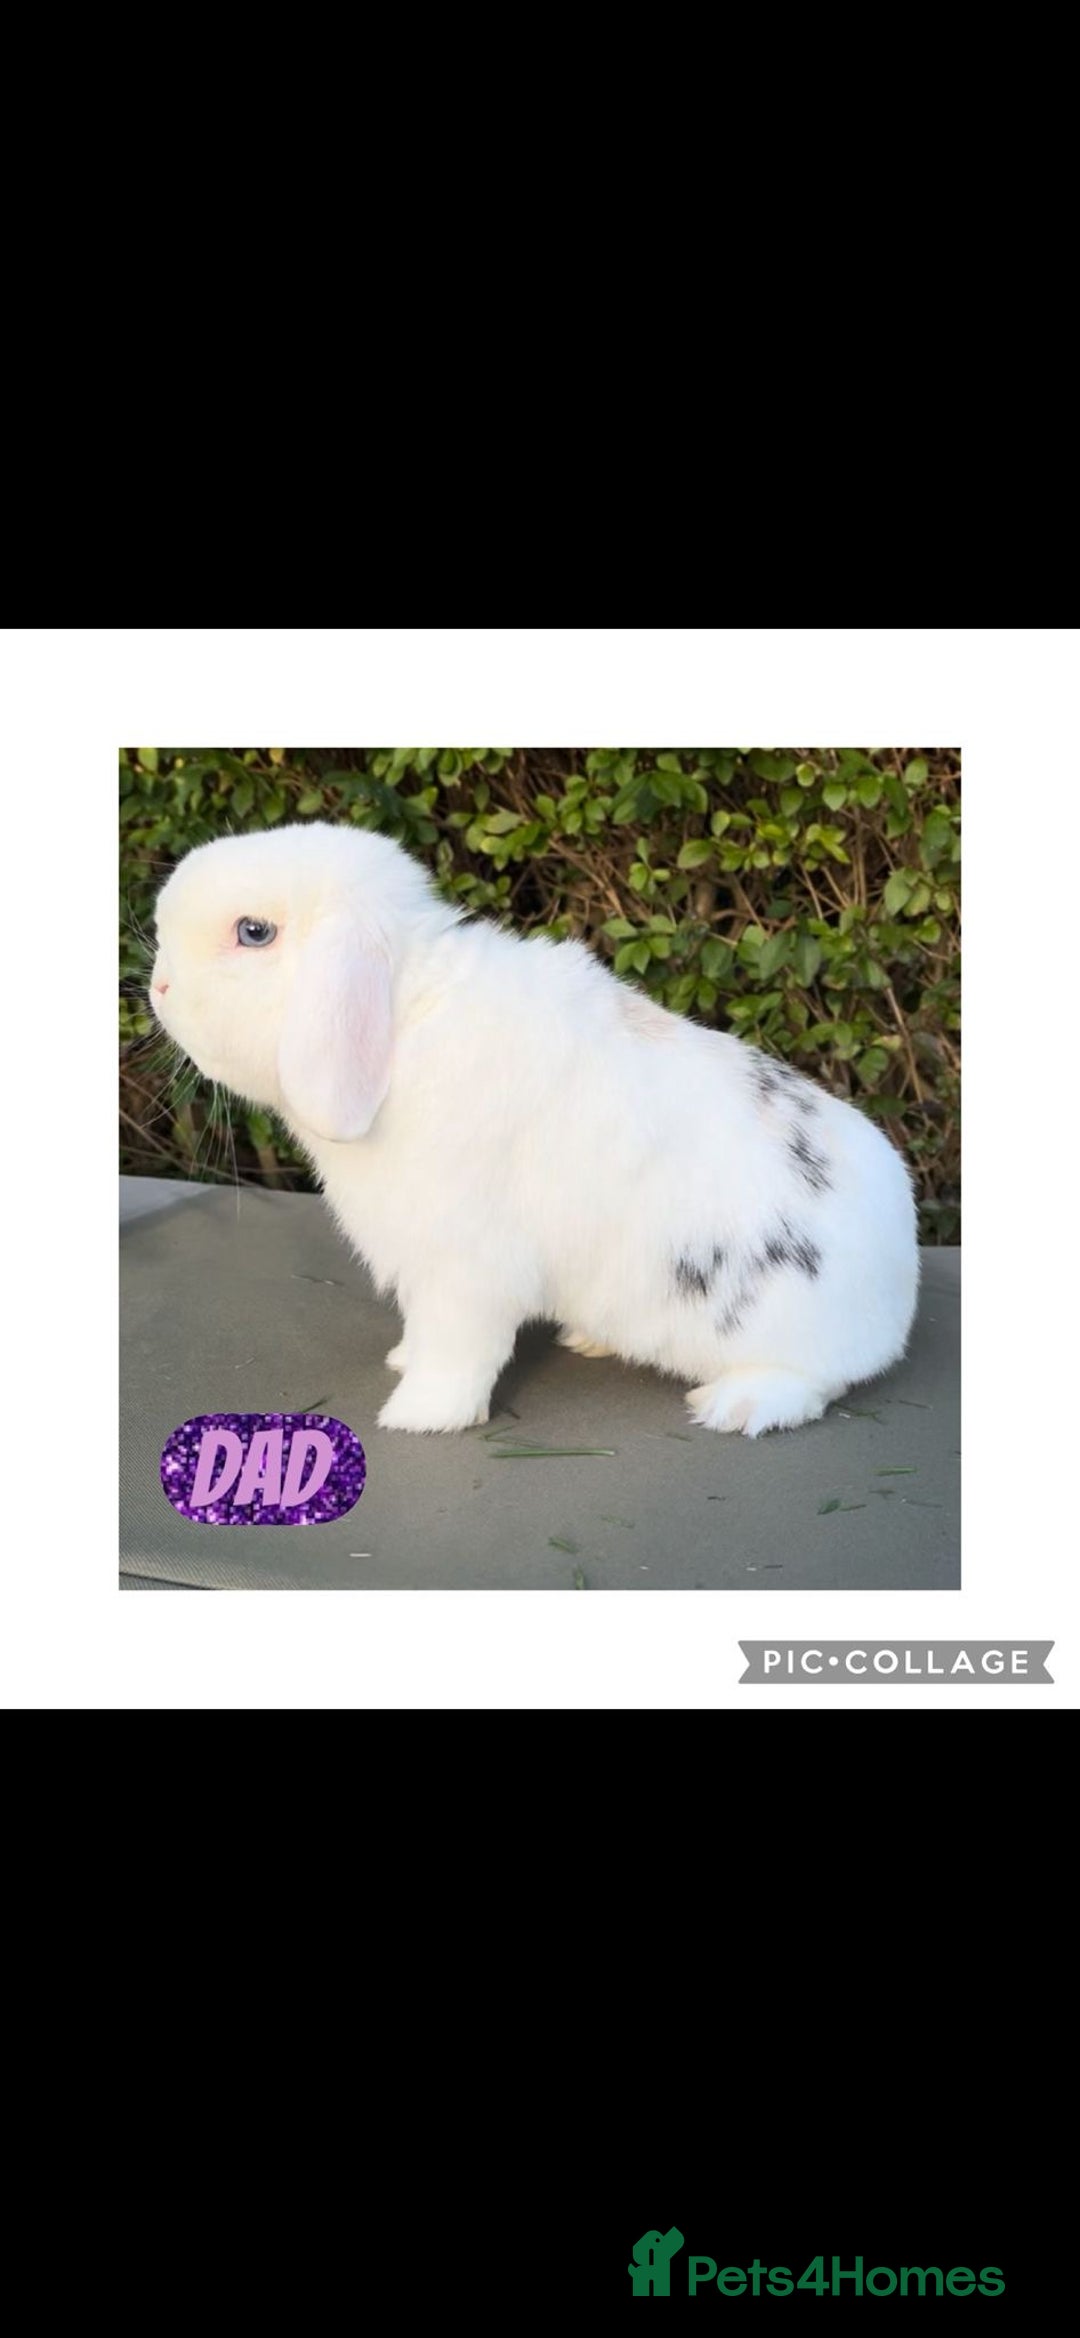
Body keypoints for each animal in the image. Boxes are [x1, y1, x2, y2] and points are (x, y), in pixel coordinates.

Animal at [149, 821, 919, 1435]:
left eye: (253, 932)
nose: (157, 988)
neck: (405, 1021)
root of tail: (901, 1289)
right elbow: (423, 1333)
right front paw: (403, 1361)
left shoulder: (464, 1270)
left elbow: (457, 1350)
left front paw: (418, 1416)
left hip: (793, 1336)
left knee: (815, 1385)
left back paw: (736, 1407)